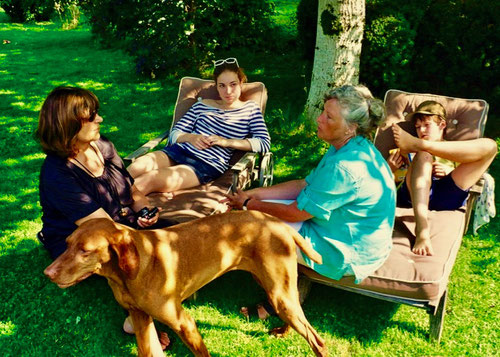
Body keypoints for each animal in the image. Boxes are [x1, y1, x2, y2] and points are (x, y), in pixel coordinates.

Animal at [44, 210, 328, 354]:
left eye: (85, 250)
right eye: (67, 244)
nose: (48, 273)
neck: (127, 274)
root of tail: (276, 221)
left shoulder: (185, 322)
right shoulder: (140, 318)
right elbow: (149, 351)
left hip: (278, 291)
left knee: (317, 339)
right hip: (276, 289)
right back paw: (283, 331)